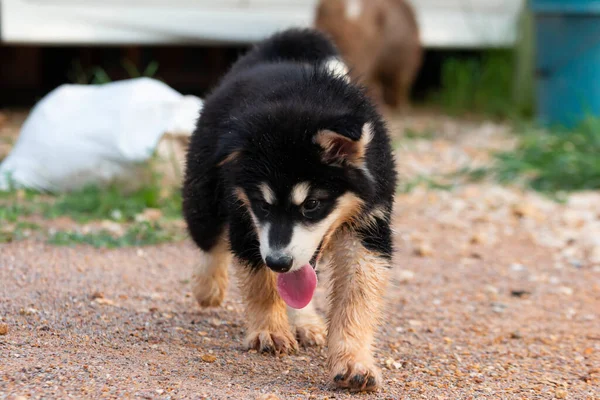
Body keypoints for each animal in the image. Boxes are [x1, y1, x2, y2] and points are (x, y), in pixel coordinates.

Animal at [183, 28, 398, 394]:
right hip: (202, 190)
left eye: (312, 204)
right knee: (207, 239)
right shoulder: (245, 220)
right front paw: (269, 331)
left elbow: (356, 297)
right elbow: (260, 281)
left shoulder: (370, 226)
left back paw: (306, 321)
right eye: (262, 204)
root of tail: (273, 55)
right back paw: (208, 287)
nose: (278, 261)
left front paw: (353, 362)